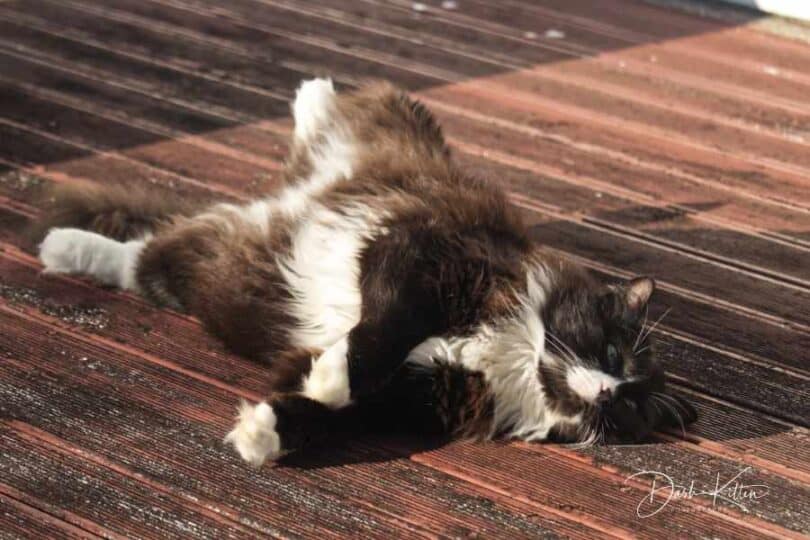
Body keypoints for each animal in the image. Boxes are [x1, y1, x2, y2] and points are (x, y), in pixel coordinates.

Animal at [34, 78, 696, 466]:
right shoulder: (417, 256)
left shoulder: (412, 394)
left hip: (203, 270)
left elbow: (321, 413)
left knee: (140, 258)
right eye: (611, 352)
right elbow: (374, 341)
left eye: (629, 408)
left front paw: (262, 433)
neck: (505, 356)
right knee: (342, 115)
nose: (607, 391)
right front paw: (331, 375)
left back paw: (64, 249)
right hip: (402, 130)